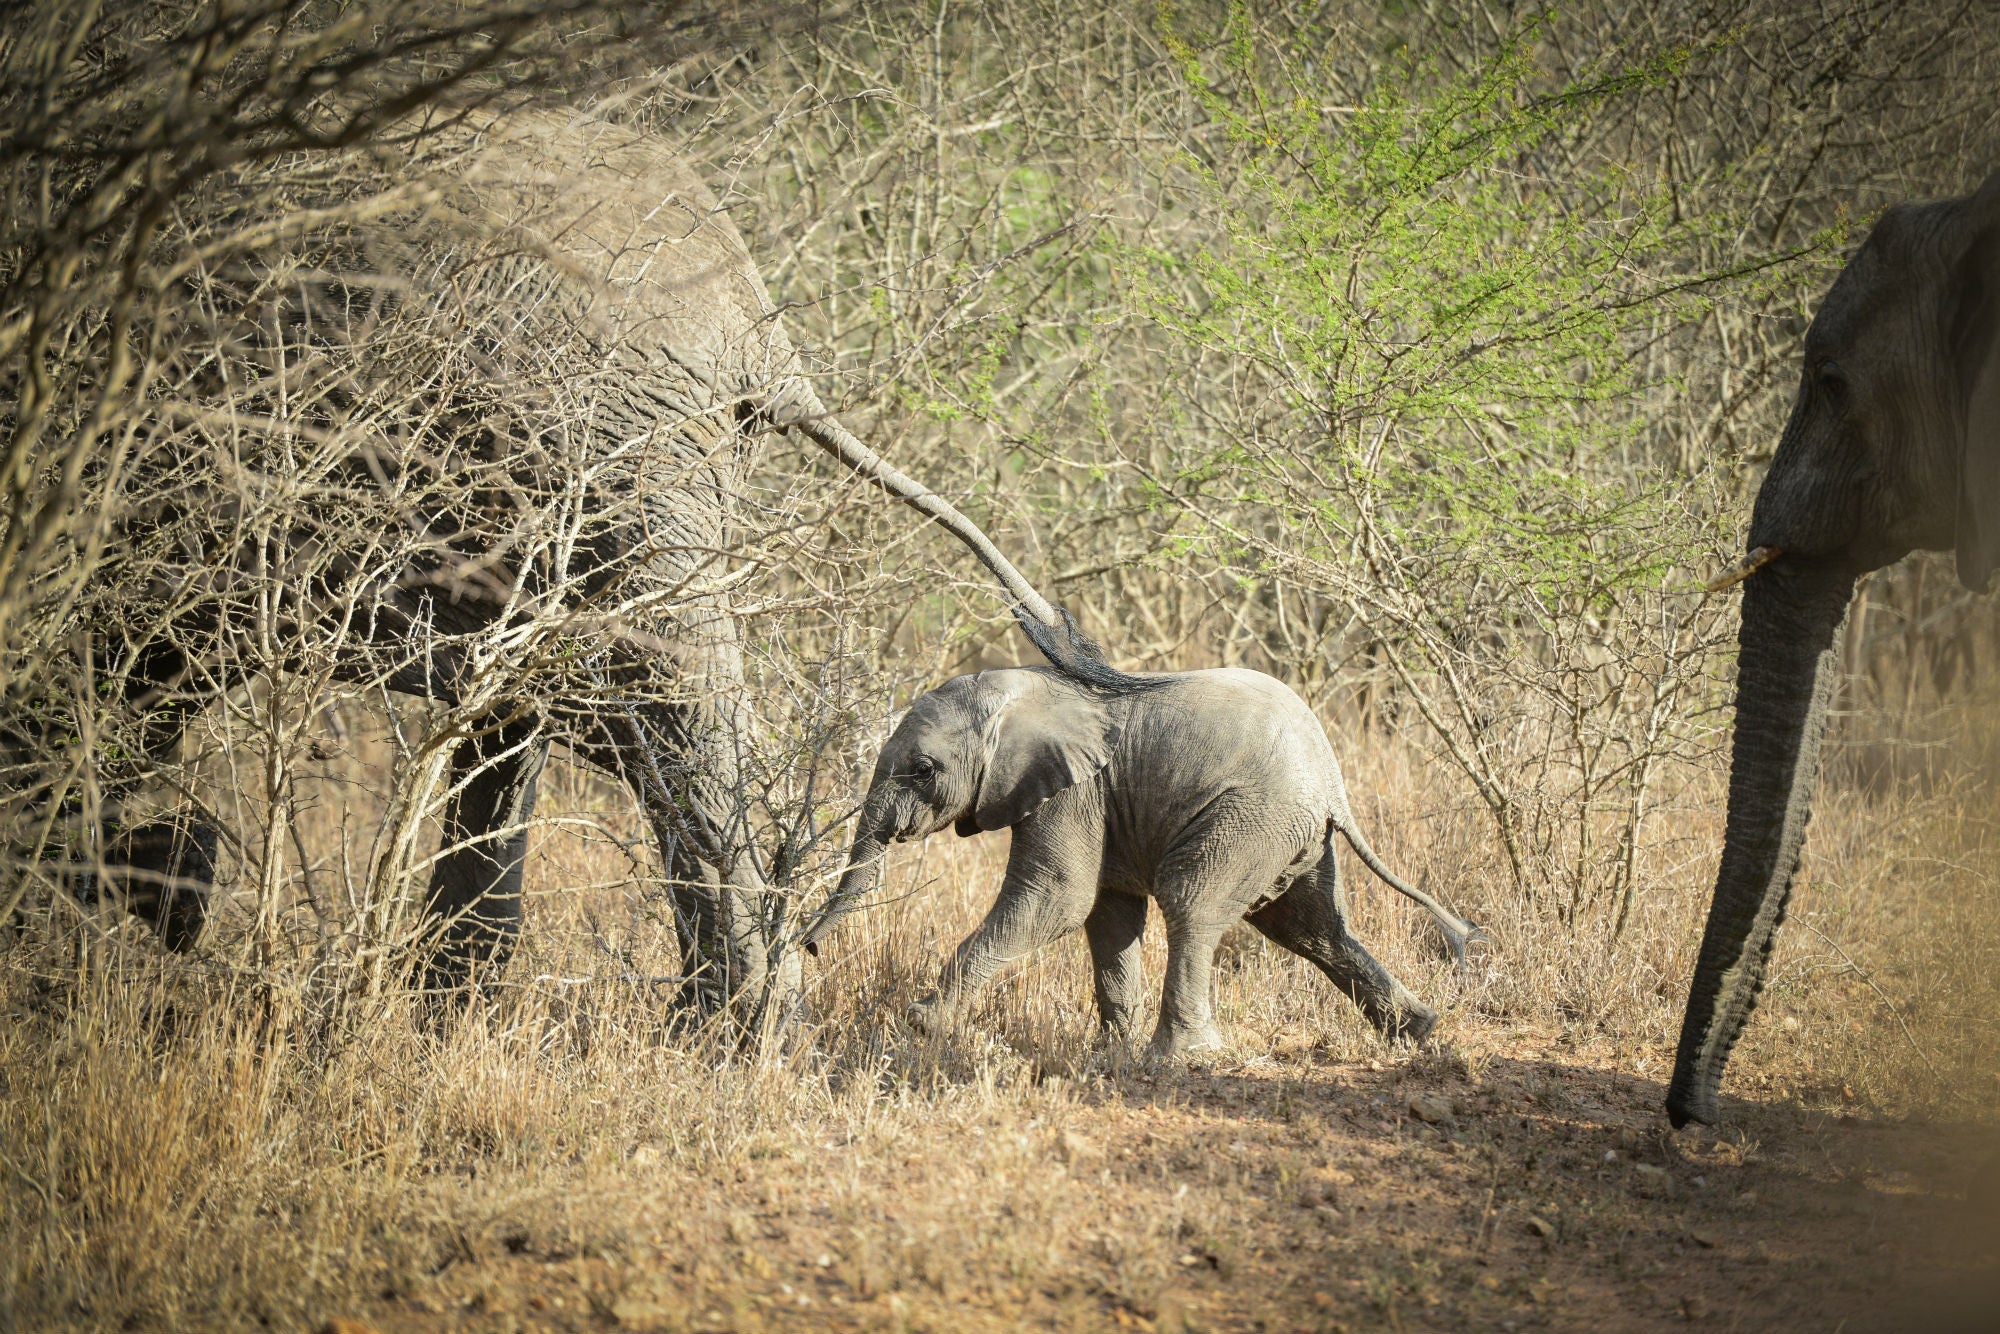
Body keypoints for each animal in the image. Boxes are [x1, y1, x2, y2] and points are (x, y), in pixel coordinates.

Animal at [29, 104, 1126, 1016]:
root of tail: (754, 331)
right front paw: (173, 879)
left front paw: (161, 889)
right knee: (537, 711)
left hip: (590, 451)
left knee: (656, 706)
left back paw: (727, 1031)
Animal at [798, 665, 1483, 1061]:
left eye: (923, 769)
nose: (808, 948)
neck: (1028, 691)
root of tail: (1333, 787)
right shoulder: (1102, 804)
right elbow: (1106, 912)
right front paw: (1112, 1053)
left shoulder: (1076, 788)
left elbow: (1057, 895)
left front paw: (922, 1024)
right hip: (1292, 838)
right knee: (1313, 929)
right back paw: (1421, 1032)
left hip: (1252, 817)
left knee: (1195, 903)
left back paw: (1180, 1058)